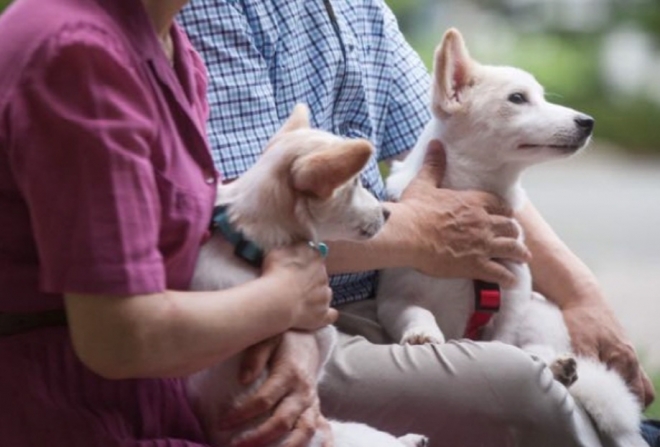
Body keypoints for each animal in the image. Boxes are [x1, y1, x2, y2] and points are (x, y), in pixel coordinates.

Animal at [376, 28, 644, 447]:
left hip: (540, 315)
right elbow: (416, 311)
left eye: (542, 95)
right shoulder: (393, 298)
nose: (587, 121)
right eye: (517, 98)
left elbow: (502, 339)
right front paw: (422, 333)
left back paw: (557, 366)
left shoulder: (515, 294)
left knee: (535, 349)